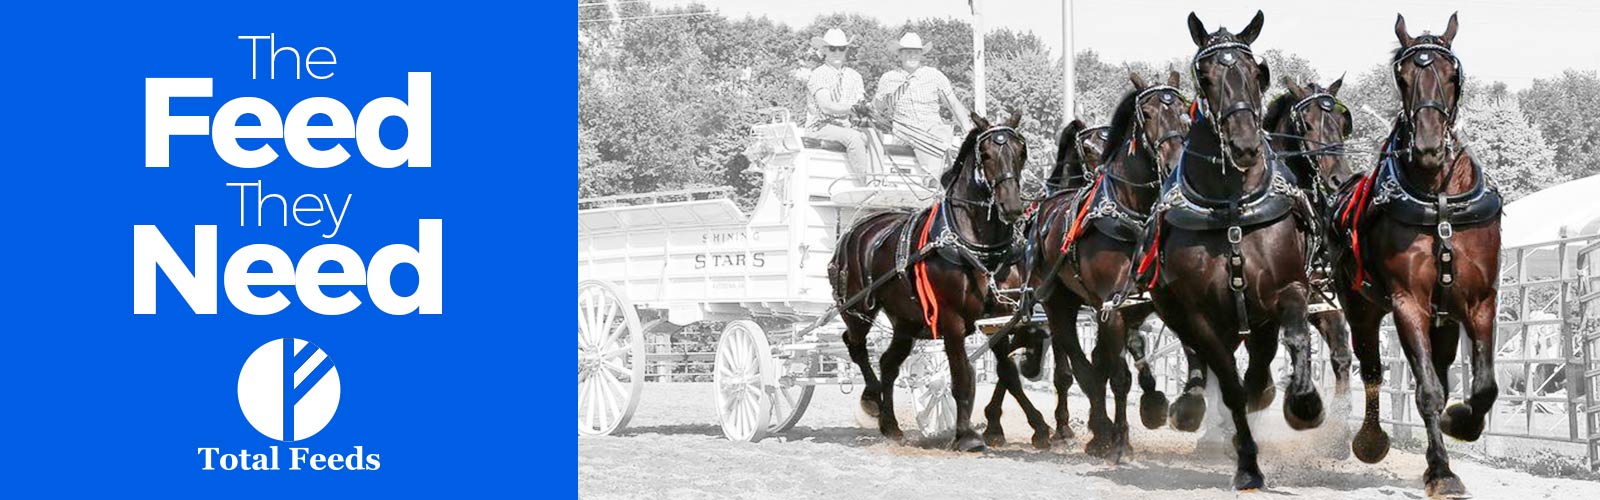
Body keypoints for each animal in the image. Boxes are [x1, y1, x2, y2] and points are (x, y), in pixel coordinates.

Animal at [825, 111, 1036, 451]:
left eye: (1021, 151)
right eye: (986, 154)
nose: (1012, 206)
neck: (978, 247)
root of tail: (858, 228)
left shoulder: (999, 319)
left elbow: (1008, 373)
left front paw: (1041, 428)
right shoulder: (951, 321)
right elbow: (960, 377)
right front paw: (966, 435)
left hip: (906, 320)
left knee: (888, 362)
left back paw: (890, 424)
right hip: (857, 309)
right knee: (855, 346)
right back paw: (872, 399)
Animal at [1030, 71, 1196, 461]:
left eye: (1185, 113)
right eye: (1147, 115)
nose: (1174, 163)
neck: (1132, 217)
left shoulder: (1146, 302)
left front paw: (1182, 404)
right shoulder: (1112, 307)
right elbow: (1118, 377)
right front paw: (1120, 440)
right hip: (1057, 300)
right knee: (1073, 359)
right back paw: (1086, 428)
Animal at [1145, 11, 1318, 487]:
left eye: (1257, 73)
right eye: (1204, 76)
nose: (1244, 146)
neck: (1230, 209)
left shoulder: (1286, 290)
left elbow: (1294, 337)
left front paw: (1304, 402)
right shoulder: (1199, 314)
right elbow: (1230, 383)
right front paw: (1248, 464)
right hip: (1182, 314)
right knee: (1205, 363)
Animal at [1324, 11, 1497, 496]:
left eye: (1451, 74)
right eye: (1402, 77)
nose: (1427, 146)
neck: (1439, 199)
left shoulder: (1480, 301)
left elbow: (1484, 386)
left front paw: (1462, 423)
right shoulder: (1408, 304)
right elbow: (1427, 391)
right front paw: (1441, 471)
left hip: (1445, 320)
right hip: (1361, 308)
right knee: (1370, 369)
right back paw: (1369, 439)